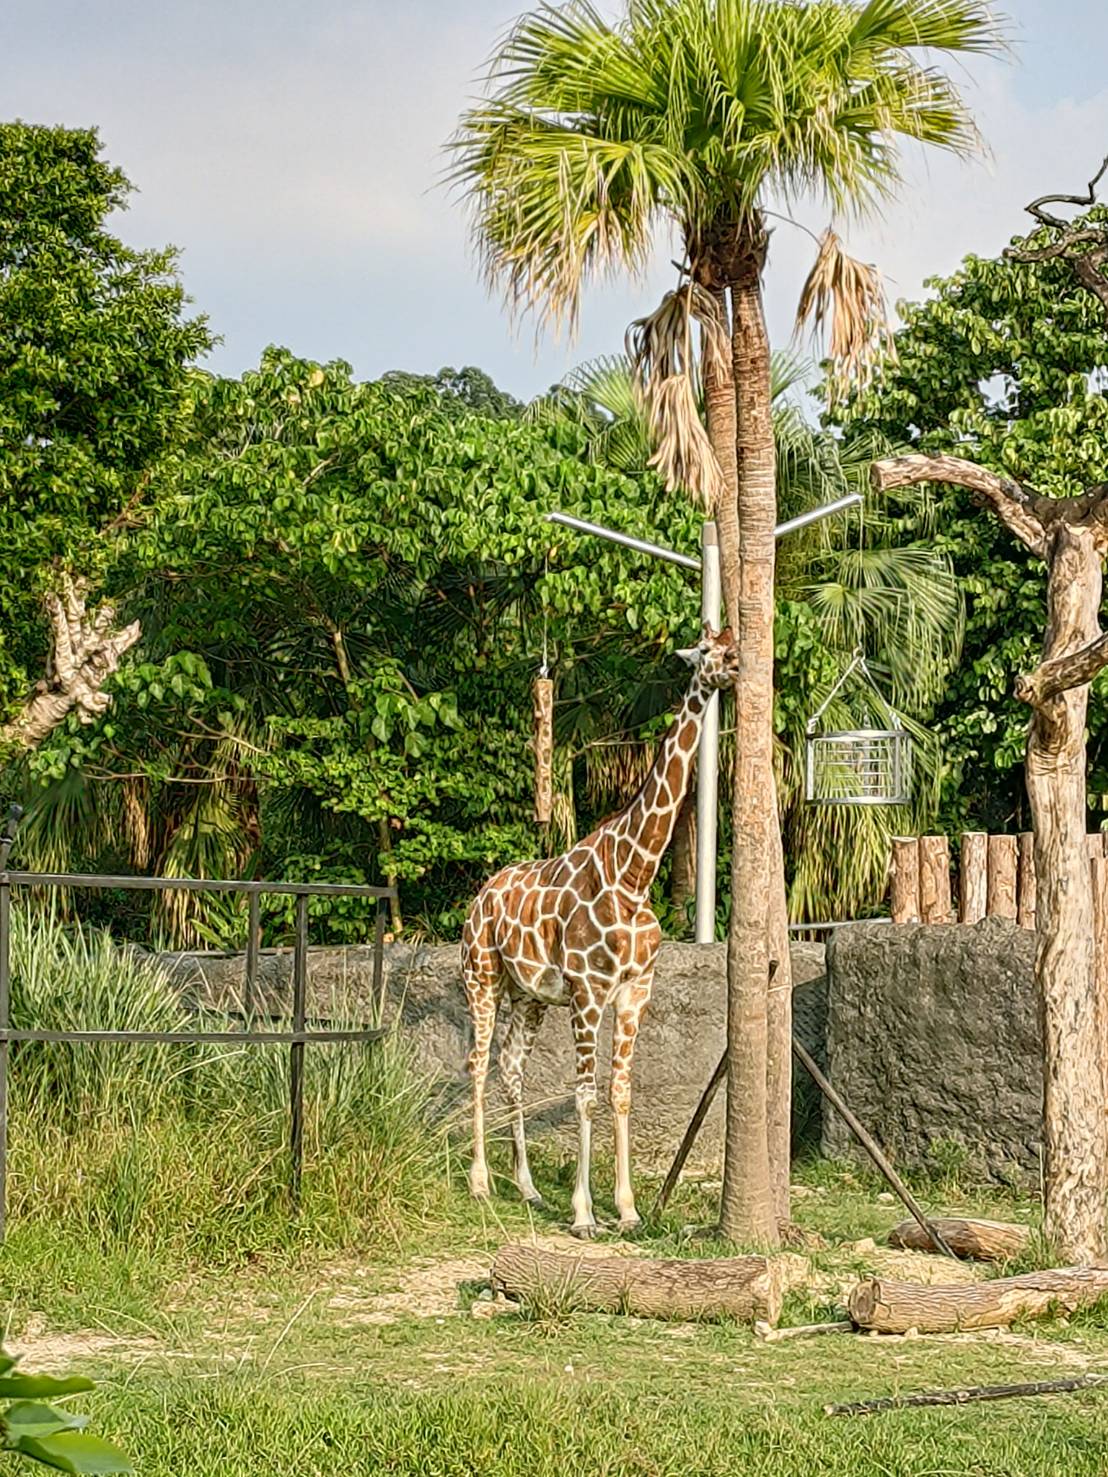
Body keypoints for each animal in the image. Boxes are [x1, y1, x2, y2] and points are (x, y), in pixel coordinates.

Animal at [460, 625, 738, 1236]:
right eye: (705, 650)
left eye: (733, 640)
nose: (736, 664)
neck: (635, 875)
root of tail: (479, 898)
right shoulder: (588, 991)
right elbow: (585, 1095)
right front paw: (585, 1213)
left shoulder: (635, 991)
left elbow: (620, 1092)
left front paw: (628, 1209)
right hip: (481, 979)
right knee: (477, 1064)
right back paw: (481, 1183)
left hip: (529, 996)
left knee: (511, 1067)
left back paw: (528, 1187)